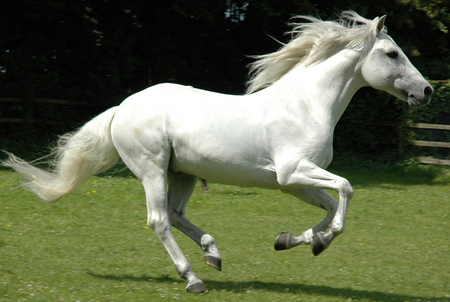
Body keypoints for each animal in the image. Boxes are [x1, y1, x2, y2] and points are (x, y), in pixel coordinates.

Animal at [2, 11, 432, 292]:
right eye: (392, 54)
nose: (426, 91)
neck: (306, 105)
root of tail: (121, 108)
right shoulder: (293, 171)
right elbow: (344, 191)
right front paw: (319, 241)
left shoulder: (292, 182)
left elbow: (328, 206)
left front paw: (294, 240)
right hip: (152, 169)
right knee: (159, 220)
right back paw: (193, 278)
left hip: (183, 173)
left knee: (176, 215)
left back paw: (213, 253)